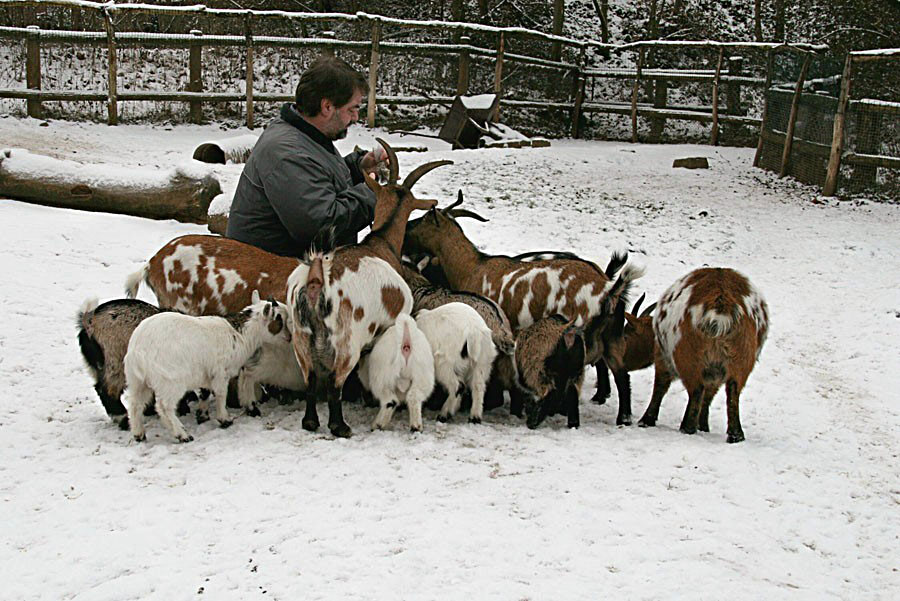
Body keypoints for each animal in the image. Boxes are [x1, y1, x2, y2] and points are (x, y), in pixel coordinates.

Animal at [124, 296, 288, 440]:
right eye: (279, 318)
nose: (289, 337)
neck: (240, 334)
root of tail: (138, 351)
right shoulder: (221, 372)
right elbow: (221, 394)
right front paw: (225, 419)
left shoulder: (206, 373)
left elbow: (205, 392)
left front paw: (202, 415)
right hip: (170, 380)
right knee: (164, 407)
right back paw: (182, 434)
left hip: (137, 380)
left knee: (135, 404)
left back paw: (138, 434)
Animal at [404, 192, 644, 422]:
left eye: (423, 219)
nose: (406, 229)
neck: (472, 266)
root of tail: (609, 289)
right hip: (612, 339)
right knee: (621, 375)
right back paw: (621, 416)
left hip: (580, 338)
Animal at [636, 268, 768, 440]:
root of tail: (720, 309)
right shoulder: (715, 373)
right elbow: (709, 394)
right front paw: (704, 426)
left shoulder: (662, 356)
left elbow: (660, 385)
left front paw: (646, 420)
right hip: (739, 360)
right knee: (732, 391)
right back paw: (735, 435)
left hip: (689, 357)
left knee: (696, 390)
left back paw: (687, 427)